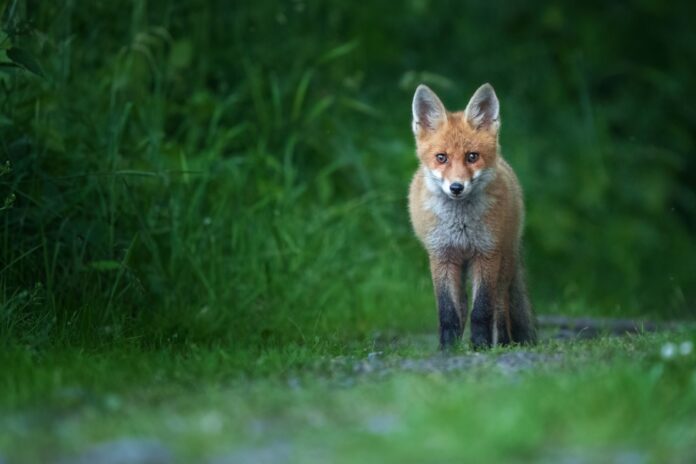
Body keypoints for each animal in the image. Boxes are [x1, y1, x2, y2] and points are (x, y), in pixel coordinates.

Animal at [408, 83, 536, 349]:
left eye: (472, 156)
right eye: (441, 157)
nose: (456, 187)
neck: (461, 225)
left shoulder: (486, 254)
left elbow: (482, 311)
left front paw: (481, 346)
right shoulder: (441, 256)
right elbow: (448, 312)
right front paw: (447, 348)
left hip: (504, 262)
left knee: (500, 305)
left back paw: (503, 343)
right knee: (462, 305)